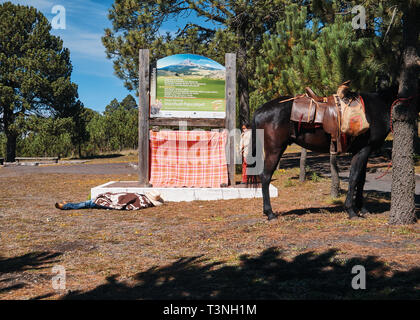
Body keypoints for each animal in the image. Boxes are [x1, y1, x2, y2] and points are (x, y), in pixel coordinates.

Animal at [248, 85, 402, 220]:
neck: (377, 106)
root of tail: (260, 110)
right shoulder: (363, 150)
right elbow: (354, 178)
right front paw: (351, 211)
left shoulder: (362, 151)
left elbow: (361, 180)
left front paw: (362, 209)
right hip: (275, 149)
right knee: (265, 176)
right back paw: (270, 213)